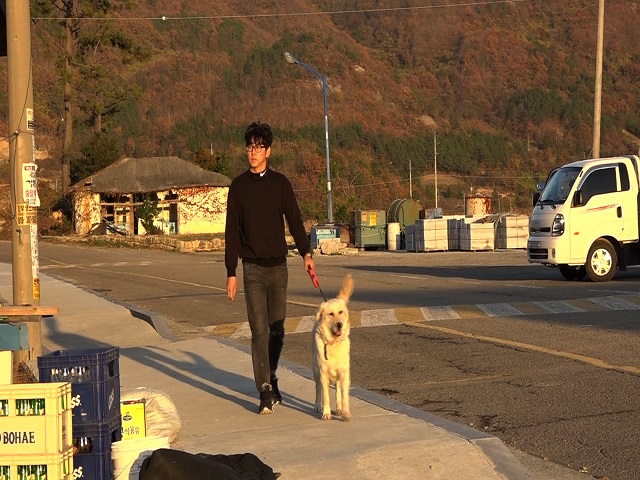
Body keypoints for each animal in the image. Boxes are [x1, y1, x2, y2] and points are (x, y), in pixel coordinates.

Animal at [312, 274, 354, 421]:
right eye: (331, 314)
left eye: (341, 312)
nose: (339, 324)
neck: (333, 344)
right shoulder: (323, 373)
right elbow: (326, 396)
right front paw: (326, 413)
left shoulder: (344, 373)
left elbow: (344, 396)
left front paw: (345, 412)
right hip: (315, 370)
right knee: (318, 388)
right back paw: (317, 406)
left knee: (338, 391)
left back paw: (340, 409)